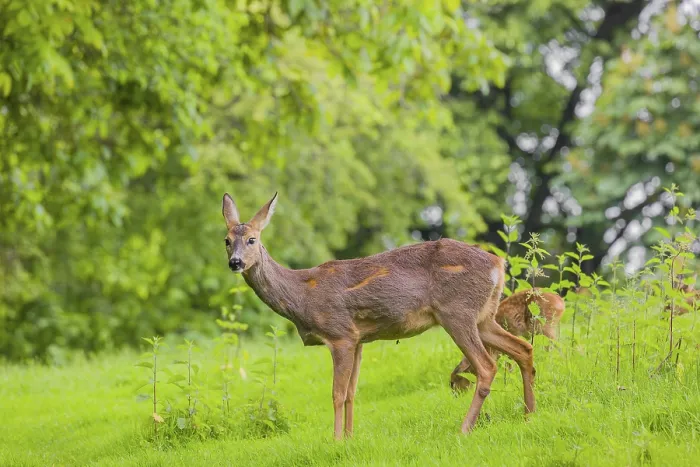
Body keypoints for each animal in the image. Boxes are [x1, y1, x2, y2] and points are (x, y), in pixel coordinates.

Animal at [221, 192, 536, 440]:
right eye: (226, 240)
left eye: (252, 239)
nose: (235, 262)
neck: (302, 296)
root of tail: (498, 263)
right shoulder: (359, 339)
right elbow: (352, 392)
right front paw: (350, 438)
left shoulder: (340, 334)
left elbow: (336, 394)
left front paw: (335, 440)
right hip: (484, 315)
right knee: (524, 347)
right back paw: (529, 414)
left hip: (457, 312)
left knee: (487, 366)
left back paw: (464, 429)